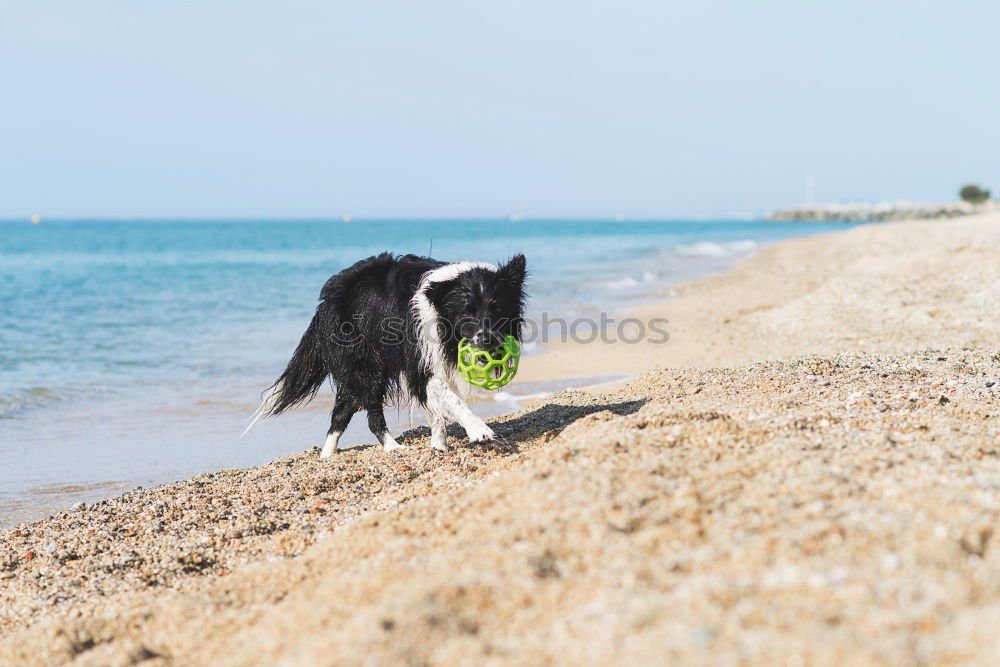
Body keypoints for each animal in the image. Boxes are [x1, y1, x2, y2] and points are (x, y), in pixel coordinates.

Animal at [250, 253, 528, 456]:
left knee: (342, 411)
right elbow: (449, 399)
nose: (487, 339)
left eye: (497, 308)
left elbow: (437, 412)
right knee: (370, 412)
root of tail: (327, 301)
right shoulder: (420, 363)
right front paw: (479, 430)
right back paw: (392, 447)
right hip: (365, 366)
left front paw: (439, 446)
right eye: (467, 312)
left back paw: (327, 456)